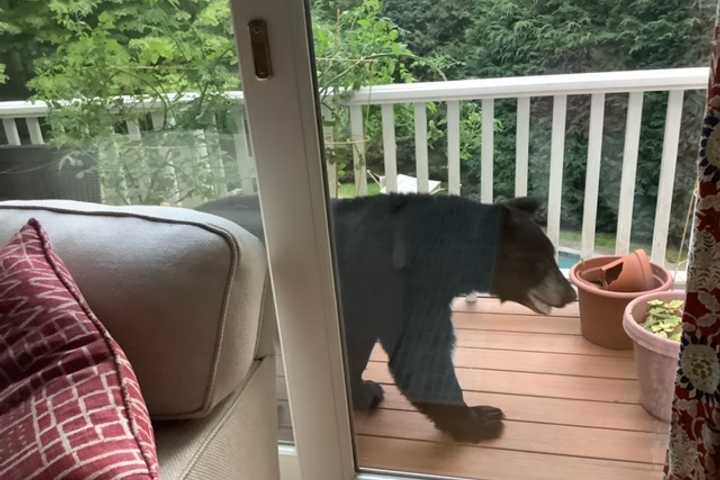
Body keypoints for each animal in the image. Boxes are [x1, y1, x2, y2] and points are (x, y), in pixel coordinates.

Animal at [198, 193, 580, 440]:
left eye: (551, 255)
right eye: (541, 261)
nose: (571, 293)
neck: (436, 259)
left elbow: (357, 348)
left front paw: (362, 393)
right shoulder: (397, 287)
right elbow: (421, 356)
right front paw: (481, 419)